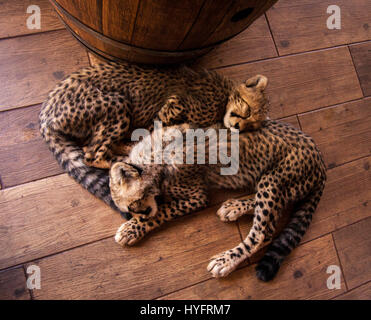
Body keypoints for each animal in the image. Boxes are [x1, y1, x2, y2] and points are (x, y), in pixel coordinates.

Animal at [39, 60, 268, 218]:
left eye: (252, 126)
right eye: (248, 111)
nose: (238, 127)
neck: (225, 95)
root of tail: (46, 110)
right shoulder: (174, 104)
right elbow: (155, 129)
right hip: (117, 102)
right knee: (91, 154)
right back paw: (122, 161)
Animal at [109, 119, 326, 280]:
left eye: (133, 204)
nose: (141, 213)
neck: (156, 155)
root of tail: (320, 158)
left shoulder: (197, 197)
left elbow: (164, 210)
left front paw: (132, 228)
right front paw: (118, 144)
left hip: (273, 179)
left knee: (263, 233)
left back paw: (225, 260)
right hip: (272, 182)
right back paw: (234, 207)